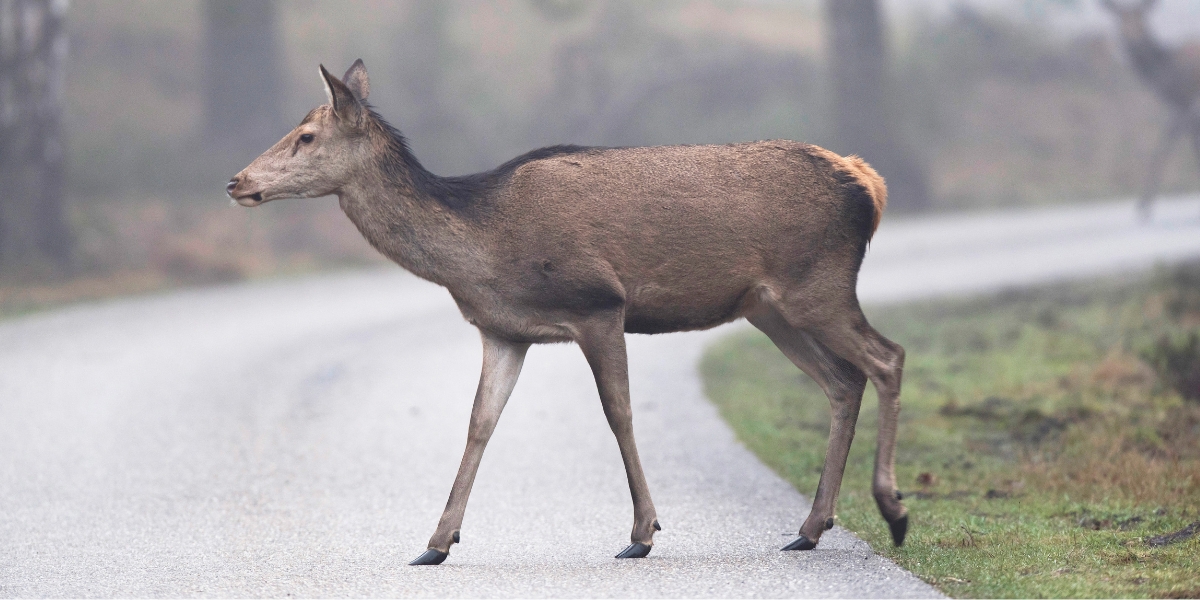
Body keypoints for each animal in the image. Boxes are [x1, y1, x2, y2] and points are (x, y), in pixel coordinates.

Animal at [225, 60, 902, 566]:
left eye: (306, 136)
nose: (236, 181)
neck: (483, 249)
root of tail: (870, 183)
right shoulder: (504, 331)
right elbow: (479, 423)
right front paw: (437, 542)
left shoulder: (599, 304)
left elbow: (618, 412)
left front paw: (642, 533)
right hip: (769, 307)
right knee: (844, 381)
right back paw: (811, 526)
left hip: (818, 285)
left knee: (887, 358)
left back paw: (892, 508)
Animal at [1099, 0, 1200, 218]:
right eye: (1120, 23)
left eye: (1141, 24)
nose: (1131, 42)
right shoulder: (1184, 107)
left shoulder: (1183, 103)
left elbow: (1162, 149)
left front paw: (1144, 205)